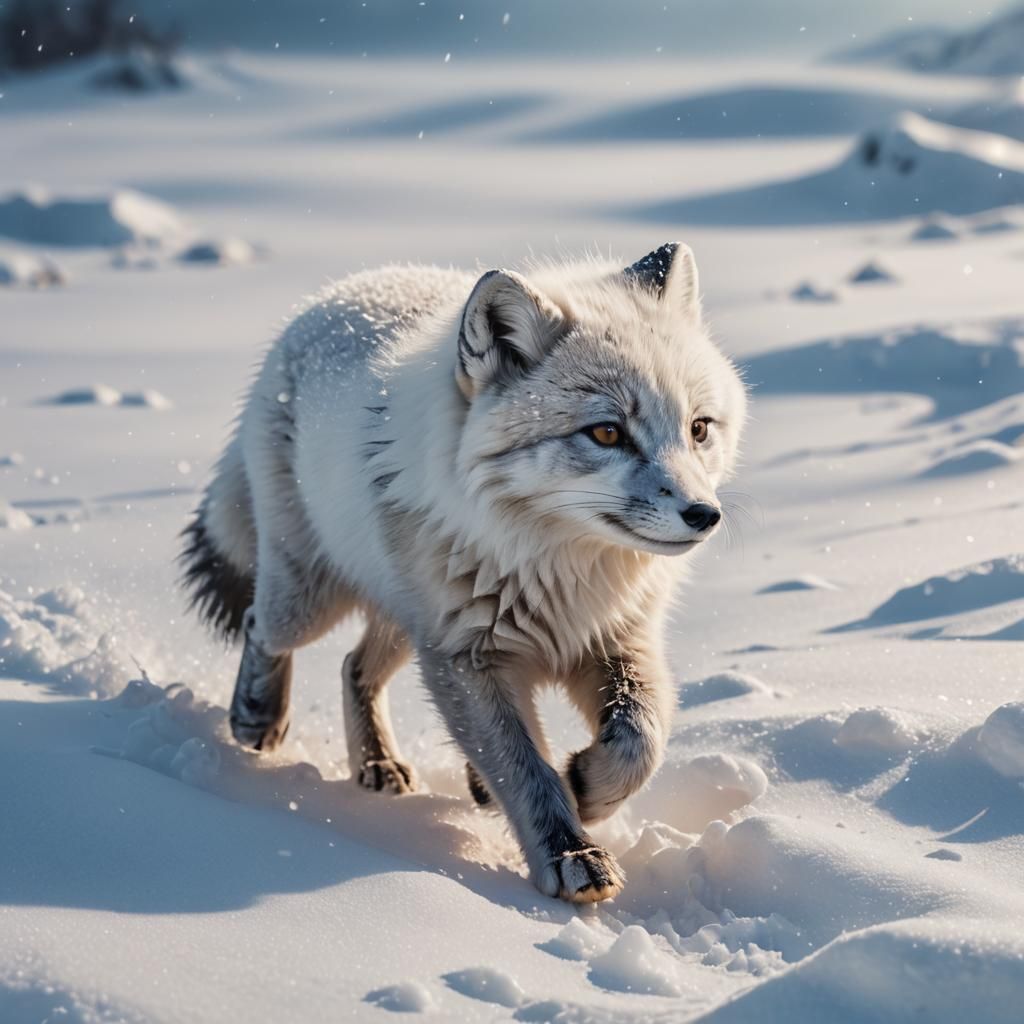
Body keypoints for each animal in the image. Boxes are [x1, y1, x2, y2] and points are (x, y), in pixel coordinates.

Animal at [181, 242, 747, 903]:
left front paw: (584, 786)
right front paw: (570, 853)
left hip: (405, 624)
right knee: (261, 624)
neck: (559, 571)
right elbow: (528, 773)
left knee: (353, 667)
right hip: (312, 600)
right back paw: (257, 715)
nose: (703, 514)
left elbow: (640, 742)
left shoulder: (616, 641)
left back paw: (377, 763)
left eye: (698, 428)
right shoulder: (467, 658)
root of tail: (329, 298)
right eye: (607, 431)